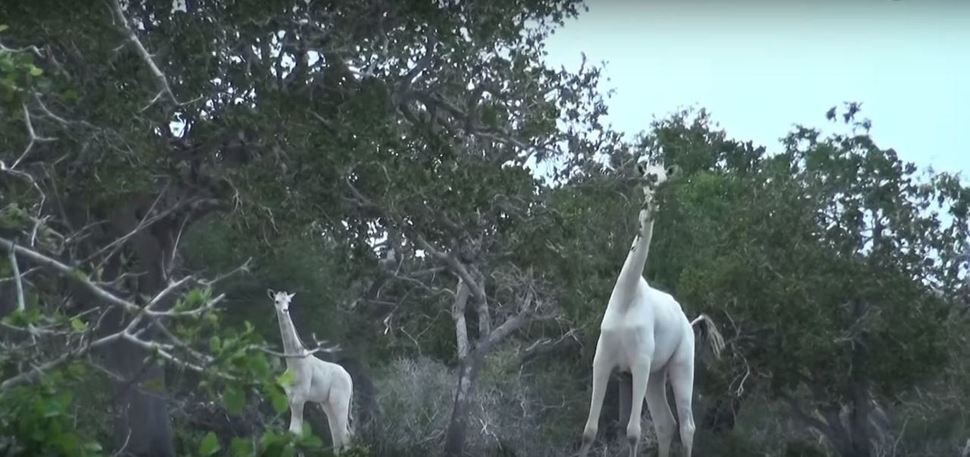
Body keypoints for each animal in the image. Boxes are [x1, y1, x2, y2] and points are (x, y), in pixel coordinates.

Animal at [266, 288, 354, 452]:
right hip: (328, 403)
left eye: (289, 301)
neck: (294, 362)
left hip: (340, 401)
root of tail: (349, 378)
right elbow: (292, 432)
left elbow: (297, 433)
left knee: (345, 435)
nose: (285, 310)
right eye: (277, 301)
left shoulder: (300, 397)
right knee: (336, 436)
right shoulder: (291, 397)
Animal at [576, 163, 728, 456]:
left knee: (686, 426)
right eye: (647, 176)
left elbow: (633, 432)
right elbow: (589, 430)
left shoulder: (640, 362)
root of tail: (689, 323)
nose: (654, 196)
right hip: (657, 376)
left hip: (681, 365)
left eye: (664, 178)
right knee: (665, 423)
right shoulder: (602, 359)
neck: (627, 296)